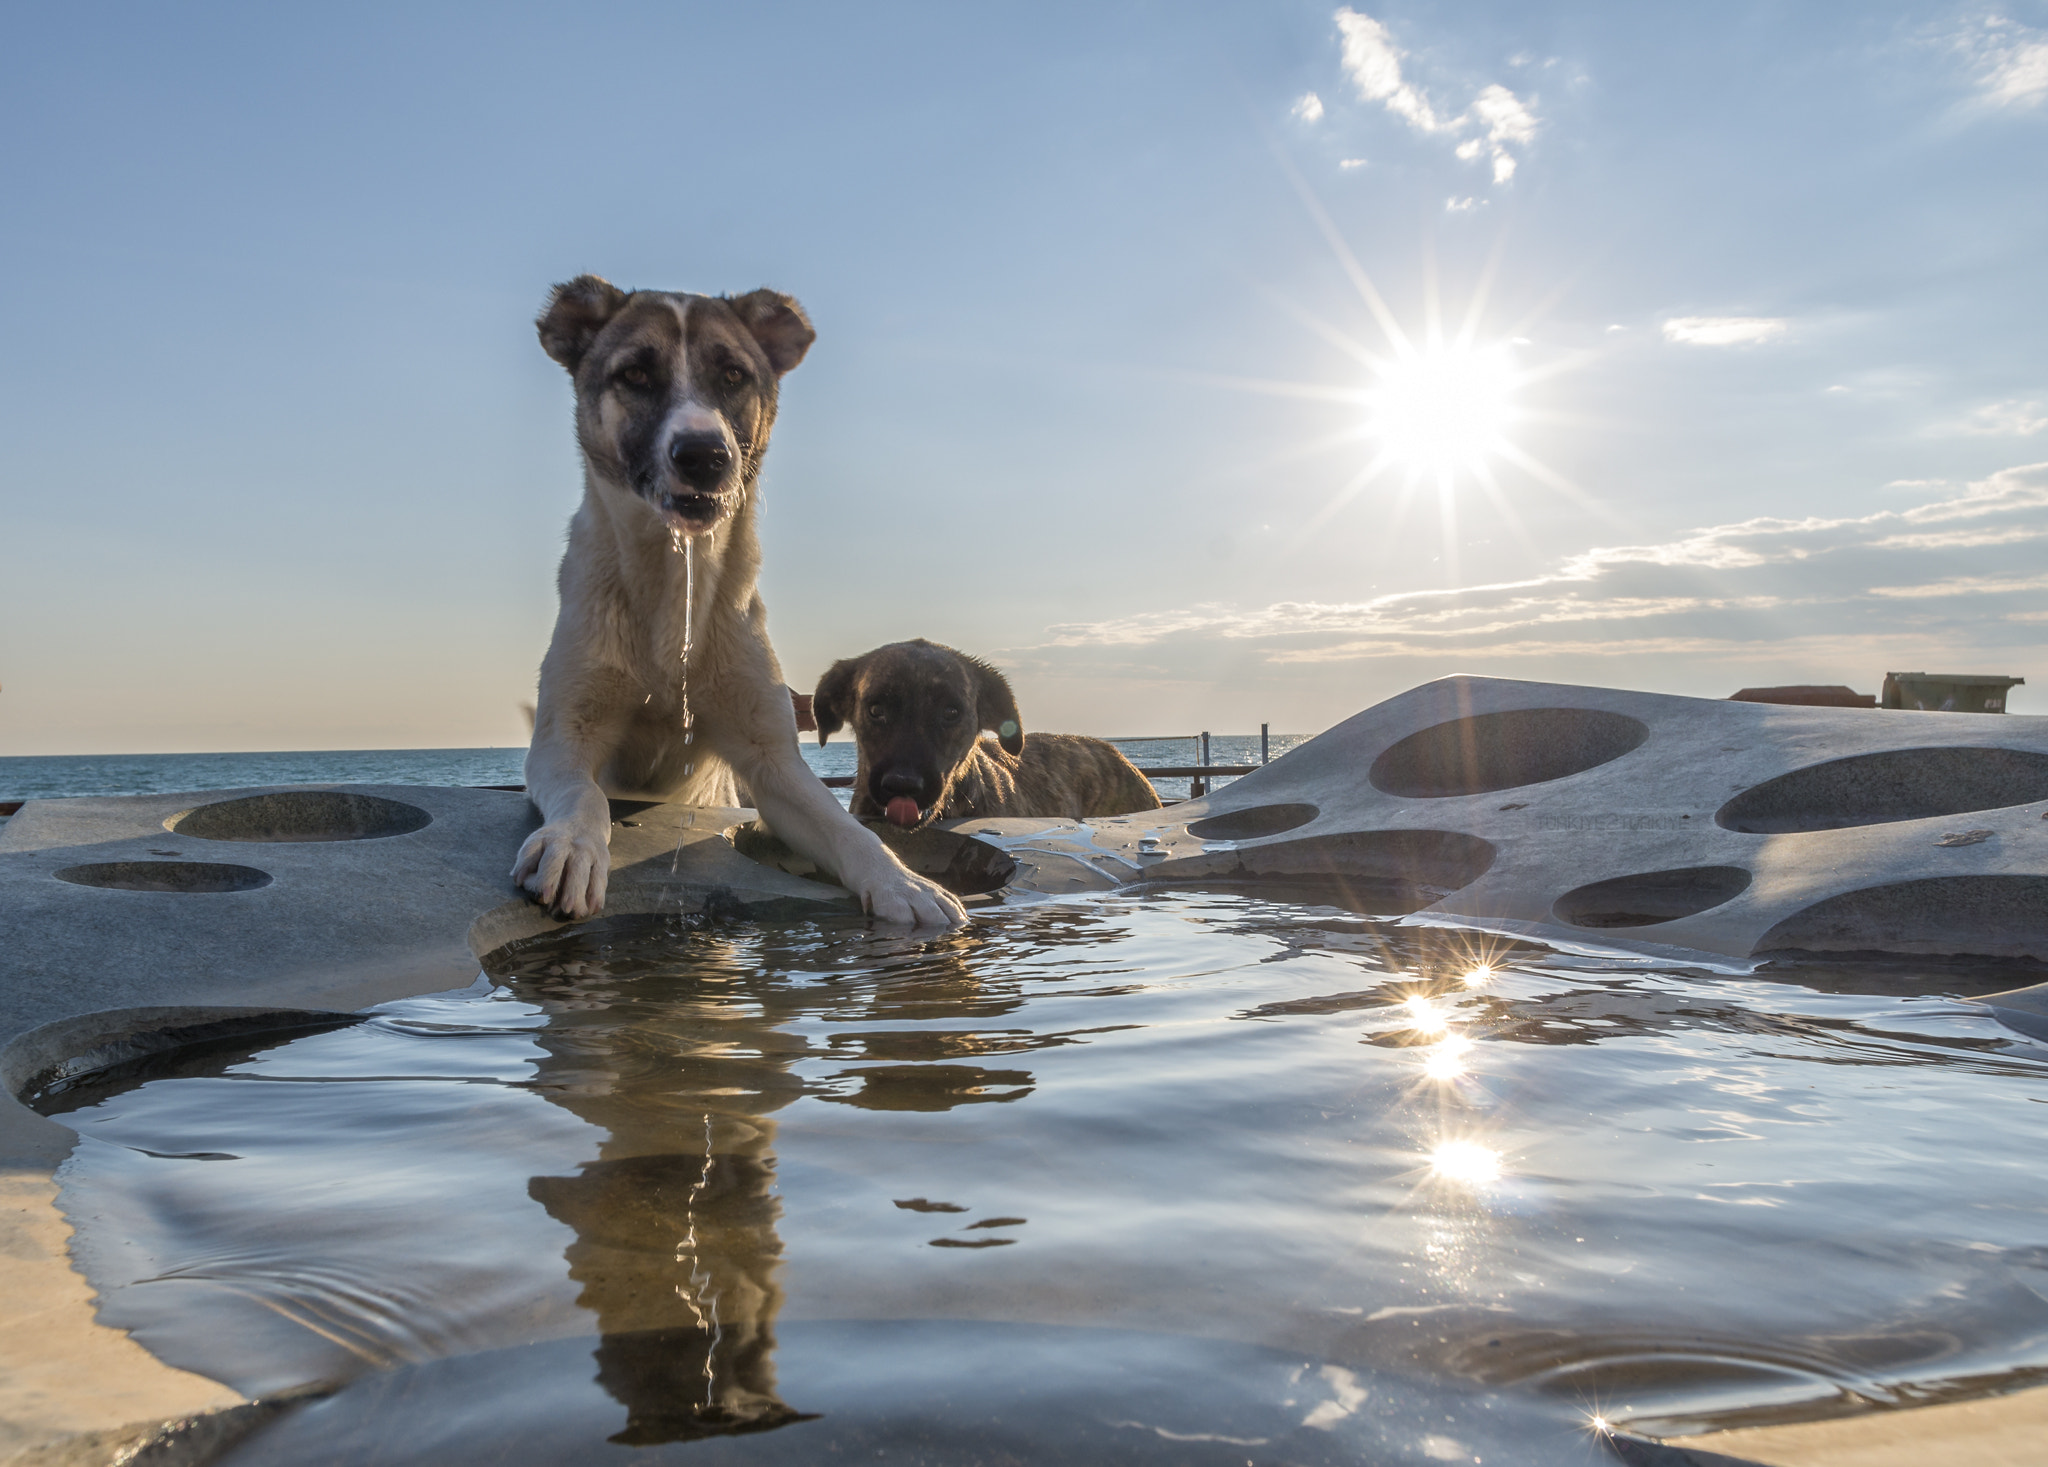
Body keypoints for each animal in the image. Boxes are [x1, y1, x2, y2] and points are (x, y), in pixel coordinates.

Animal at [512, 278, 958, 930]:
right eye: (635, 374)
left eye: (732, 375)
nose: (704, 454)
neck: (675, 582)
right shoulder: (564, 739)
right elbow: (583, 792)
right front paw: (571, 845)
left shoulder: (772, 763)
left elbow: (847, 828)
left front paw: (902, 881)